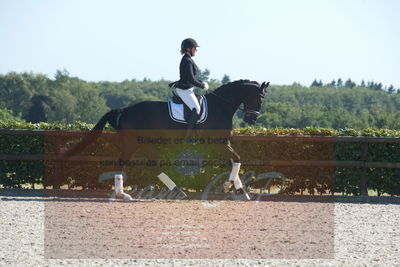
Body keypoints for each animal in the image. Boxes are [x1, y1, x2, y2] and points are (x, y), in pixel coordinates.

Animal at [62, 79, 268, 199]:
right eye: (259, 98)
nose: (252, 119)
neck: (220, 106)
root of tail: (125, 110)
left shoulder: (221, 144)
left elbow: (234, 161)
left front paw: (240, 190)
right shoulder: (220, 143)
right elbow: (237, 159)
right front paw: (229, 187)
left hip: (145, 144)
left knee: (153, 164)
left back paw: (175, 190)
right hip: (133, 142)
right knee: (123, 163)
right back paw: (123, 194)